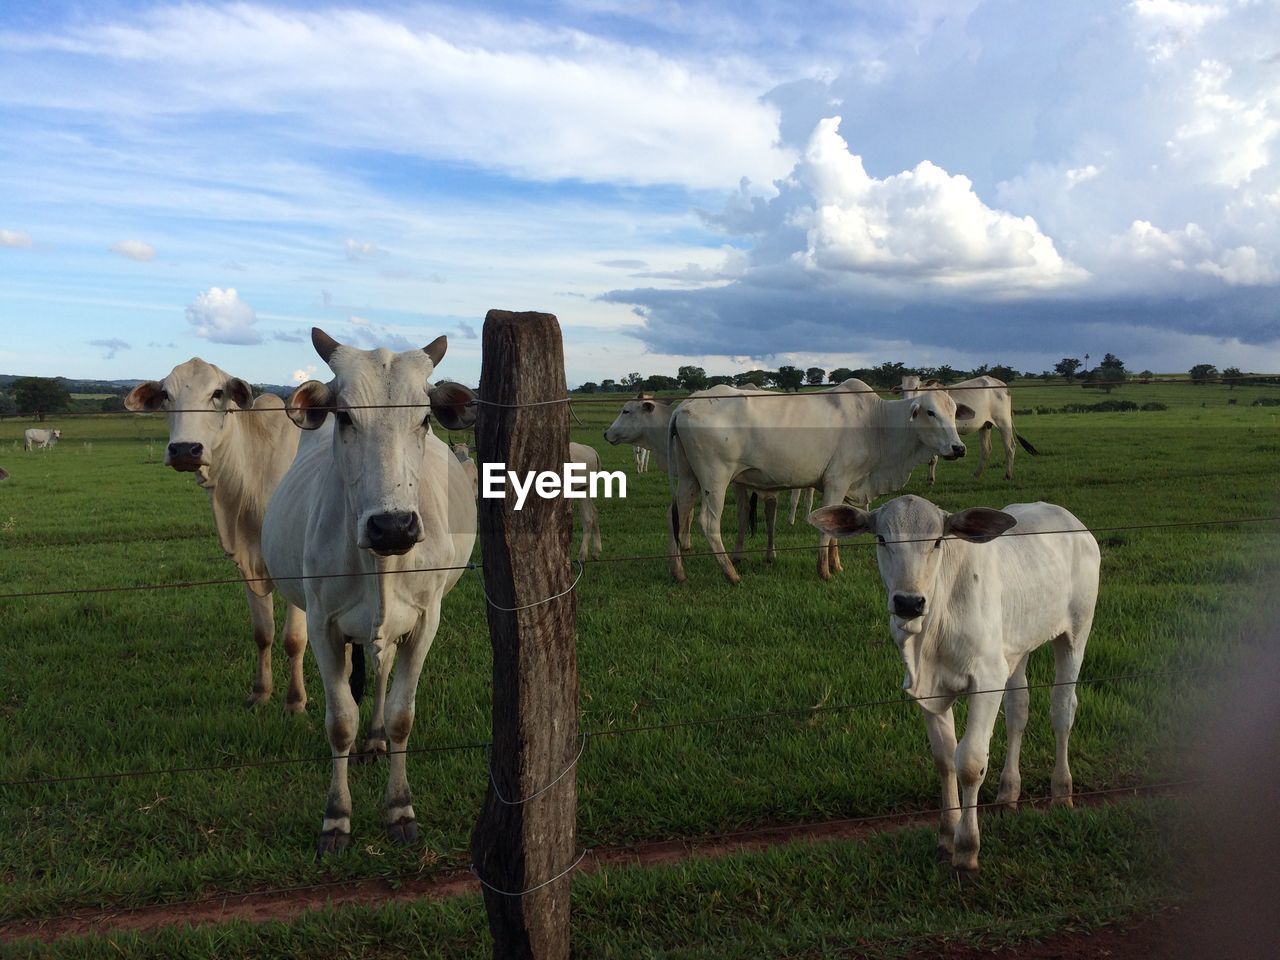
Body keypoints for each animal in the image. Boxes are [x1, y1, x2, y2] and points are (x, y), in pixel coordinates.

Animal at [125, 360, 314, 716]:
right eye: (166, 394)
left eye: (217, 392)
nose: (184, 449)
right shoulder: (248, 563)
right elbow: (263, 633)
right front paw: (260, 692)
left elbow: (294, 638)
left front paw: (295, 700)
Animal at [262, 327, 478, 855]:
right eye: (344, 416)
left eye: (424, 418)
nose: (393, 526)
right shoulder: (322, 626)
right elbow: (340, 721)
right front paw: (336, 818)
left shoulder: (425, 621)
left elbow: (402, 715)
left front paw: (399, 808)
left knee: (381, 677)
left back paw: (377, 739)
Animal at [808, 496, 1100, 880]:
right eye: (882, 539)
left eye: (936, 541)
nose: (908, 602)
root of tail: (1068, 517)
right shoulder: (931, 690)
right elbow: (944, 759)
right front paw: (947, 835)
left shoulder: (987, 679)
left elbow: (970, 762)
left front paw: (966, 848)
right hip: (1015, 650)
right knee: (1018, 712)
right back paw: (1008, 792)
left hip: (1076, 633)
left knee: (1062, 710)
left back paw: (1062, 791)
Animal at [896, 376, 1034, 481]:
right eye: (902, 389)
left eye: (916, 388)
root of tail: (1003, 386)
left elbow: (933, 458)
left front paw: (931, 479)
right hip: (985, 426)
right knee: (986, 449)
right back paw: (976, 475)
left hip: (1003, 422)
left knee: (1010, 447)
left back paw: (1007, 475)